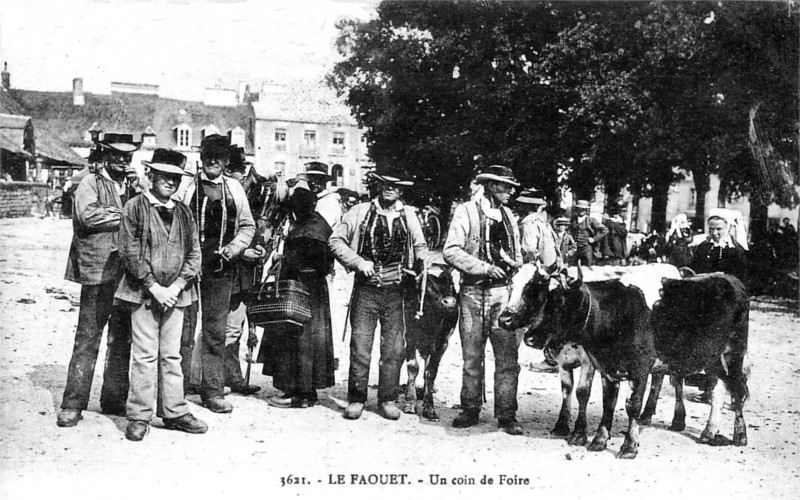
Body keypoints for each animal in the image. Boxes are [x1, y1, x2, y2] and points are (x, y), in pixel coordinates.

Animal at [404, 262, 460, 422]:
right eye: (426, 283)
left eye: (451, 282)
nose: (450, 302)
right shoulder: (409, 336)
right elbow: (413, 367)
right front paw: (410, 402)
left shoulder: (442, 342)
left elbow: (431, 372)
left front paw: (429, 407)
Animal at [500, 264, 752, 458]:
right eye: (511, 287)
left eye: (559, 302)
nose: (530, 337)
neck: (615, 313)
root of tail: (731, 279)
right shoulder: (605, 367)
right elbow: (606, 403)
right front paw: (598, 440)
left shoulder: (636, 368)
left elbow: (628, 404)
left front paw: (628, 446)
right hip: (712, 358)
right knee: (717, 390)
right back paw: (708, 431)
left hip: (734, 352)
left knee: (736, 389)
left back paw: (739, 435)